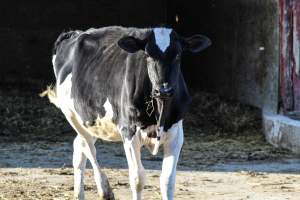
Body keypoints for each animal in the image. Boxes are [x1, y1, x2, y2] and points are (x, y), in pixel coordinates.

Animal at [47, 25, 211, 199]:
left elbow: (167, 180)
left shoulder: (176, 134)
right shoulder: (129, 131)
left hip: (93, 120)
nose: (164, 90)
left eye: (178, 54)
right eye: (147, 54)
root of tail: (74, 33)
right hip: (73, 115)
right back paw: (105, 189)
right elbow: (138, 178)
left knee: (79, 147)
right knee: (88, 146)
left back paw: (79, 194)